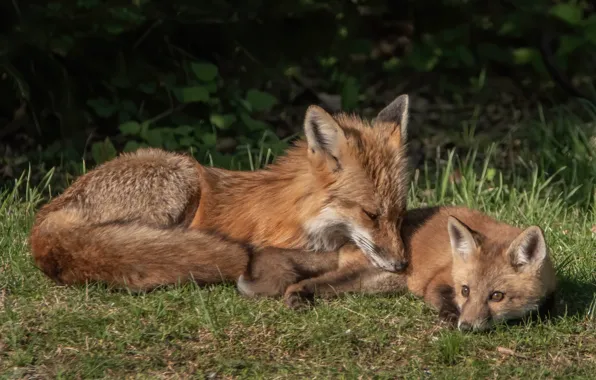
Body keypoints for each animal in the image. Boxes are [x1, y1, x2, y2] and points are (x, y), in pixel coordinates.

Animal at [31, 94, 414, 288]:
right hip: (180, 176)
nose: (401, 264)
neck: (303, 215)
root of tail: (44, 225)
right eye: (370, 214)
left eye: (399, 214)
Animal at [239, 206, 560, 332]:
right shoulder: (437, 280)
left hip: (371, 284)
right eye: (465, 291)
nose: (465, 327)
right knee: (300, 282)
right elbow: (440, 298)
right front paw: (448, 316)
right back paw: (295, 296)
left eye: (497, 296)